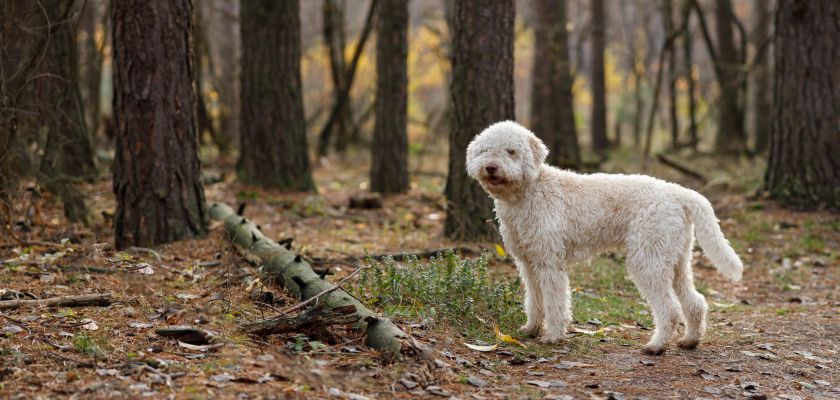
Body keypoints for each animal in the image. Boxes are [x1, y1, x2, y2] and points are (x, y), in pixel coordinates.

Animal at [466, 120, 740, 354]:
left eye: (511, 151)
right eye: (486, 150)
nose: (491, 167)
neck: (530, 192)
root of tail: (680, 193)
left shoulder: (549, 263)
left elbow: (555, 302)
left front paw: (553, 335)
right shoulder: (528, 263)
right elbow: (535, 300)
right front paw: (531, 328)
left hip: (647, 259)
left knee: (670, 309)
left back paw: (656, 346)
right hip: (676, 261)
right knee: (696, 302)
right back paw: (690, 340)